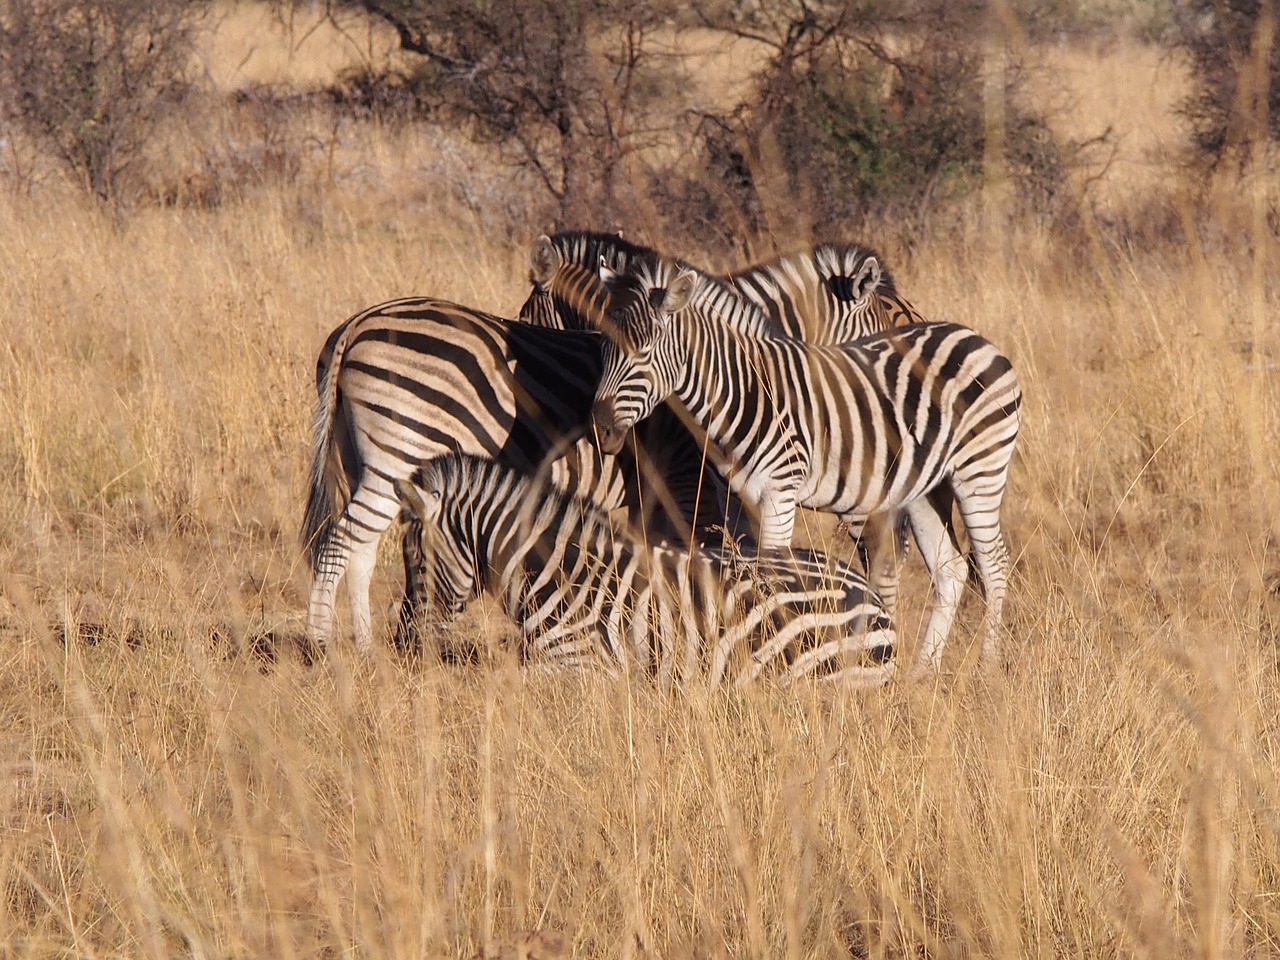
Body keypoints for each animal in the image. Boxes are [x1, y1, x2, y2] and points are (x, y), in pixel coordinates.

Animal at [304, 293, 727, 655]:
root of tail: (357, 324)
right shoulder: (682, 484)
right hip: (398, 452)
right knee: (339, 542)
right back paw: (320, 645)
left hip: (362, 461)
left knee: (360, 549)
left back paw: (365, 649)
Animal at [586, 259, 1018, 680]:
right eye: (603, 348)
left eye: (643, 352)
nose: (600, 428)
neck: (742, 391)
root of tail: (974, 336)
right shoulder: (734, 500)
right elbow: (740, 570)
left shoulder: (779, 491)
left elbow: (772, 570)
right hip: (928, 486)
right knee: (951, 569)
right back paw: (922, 674)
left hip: (980, 468)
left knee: (994, 565)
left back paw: (987, 669)